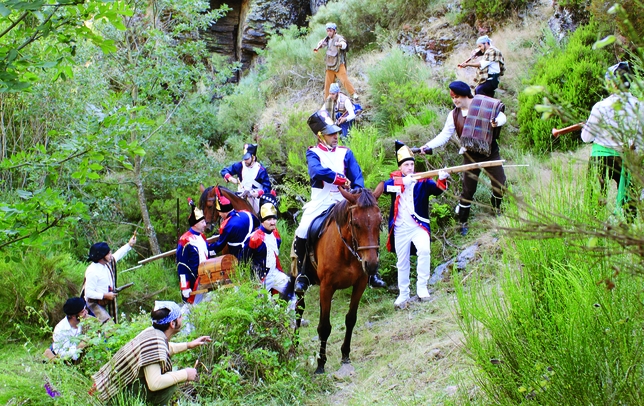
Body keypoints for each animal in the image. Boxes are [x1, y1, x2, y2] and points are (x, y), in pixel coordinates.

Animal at [296, 187, 382, 374]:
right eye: (356, 223)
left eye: (379, 222)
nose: (371, 265)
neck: (346, 251)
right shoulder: (327, 287)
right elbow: (325, 327)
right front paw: (321, 364)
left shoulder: (360, 284)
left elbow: (350, 319)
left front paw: (345, 355)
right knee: (299, 310)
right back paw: (294, 343)